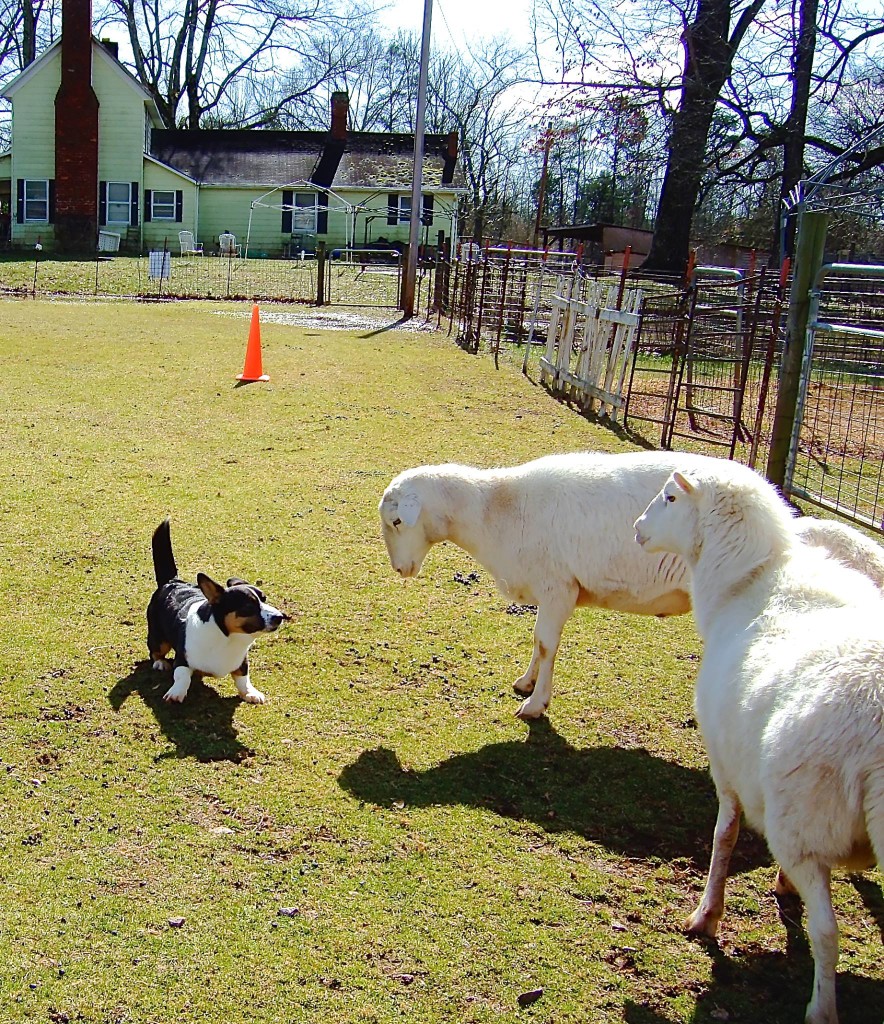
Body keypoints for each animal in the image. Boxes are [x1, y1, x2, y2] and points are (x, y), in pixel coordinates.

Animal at [147, 520, 286, 704]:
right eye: (248, 607)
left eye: (264, 599)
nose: (280, 617)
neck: (227, 638)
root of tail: (172, 582)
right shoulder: (183, 658)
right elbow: (182, 675)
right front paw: (176, 693)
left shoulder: (242, 662)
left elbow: (243, 678)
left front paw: (250, 693)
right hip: (159, 638)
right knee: (155, 651)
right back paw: (160, 663)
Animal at [630, 464, 880, 1024]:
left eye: (671, 497)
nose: (637, 529)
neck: (746, 581)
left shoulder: (726, 764)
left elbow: (723, 835)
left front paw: (706, 916)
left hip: (803, 819)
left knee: (827, 933)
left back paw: (821, 1009)